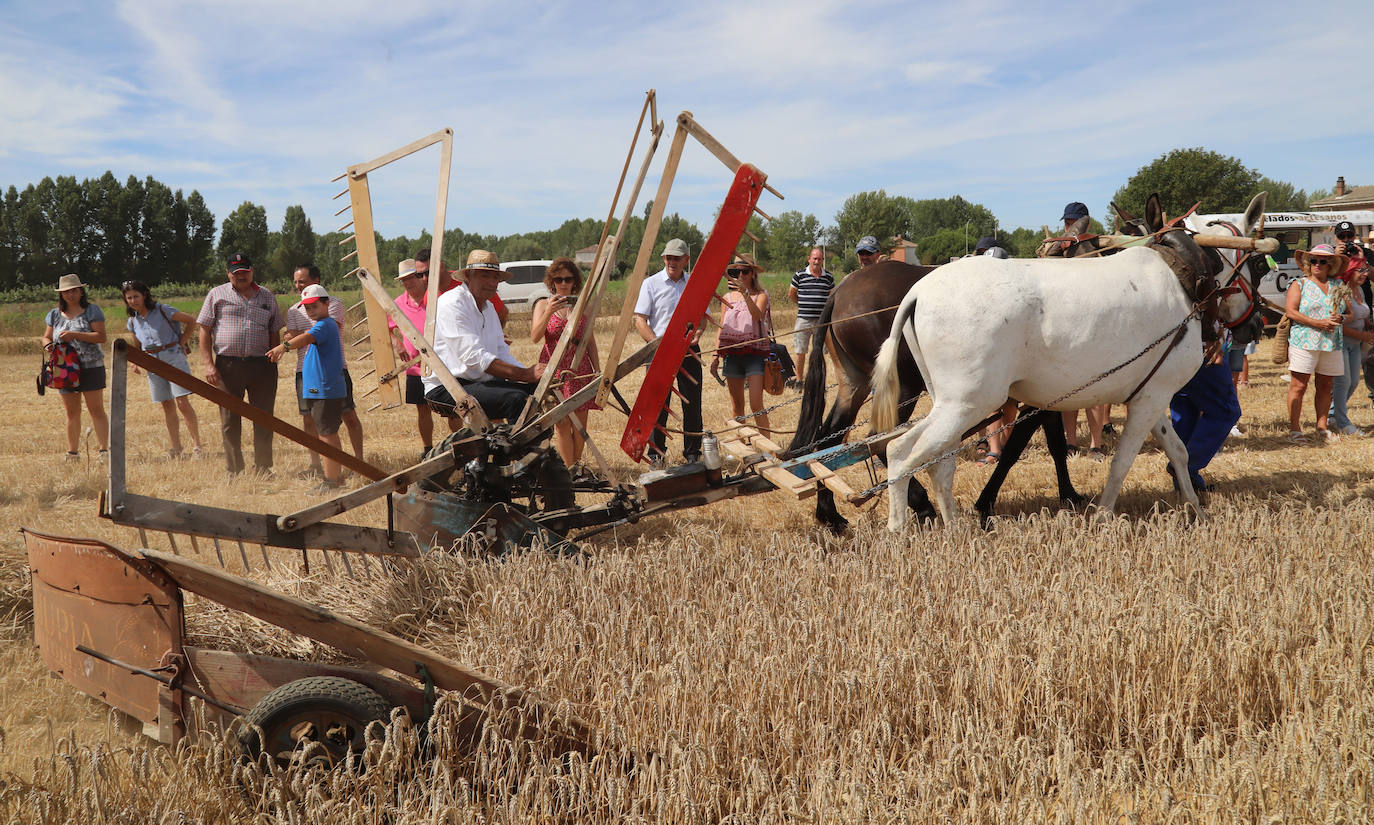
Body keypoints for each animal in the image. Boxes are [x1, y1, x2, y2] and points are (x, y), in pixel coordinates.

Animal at [873, 193, 1258, 530]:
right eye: (1250, 262)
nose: (1254, 323)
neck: (1180, 276)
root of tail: (920, 290)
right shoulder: (1151, 398)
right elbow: (1122, 462)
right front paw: (1103, 516)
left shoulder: (1150, 393)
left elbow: (1178, 451)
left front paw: (1196, 509)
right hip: (968, 403)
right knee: (901, 452)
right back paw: (898, 528)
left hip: (953, 404)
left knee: (936, 461)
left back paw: (952, 526)